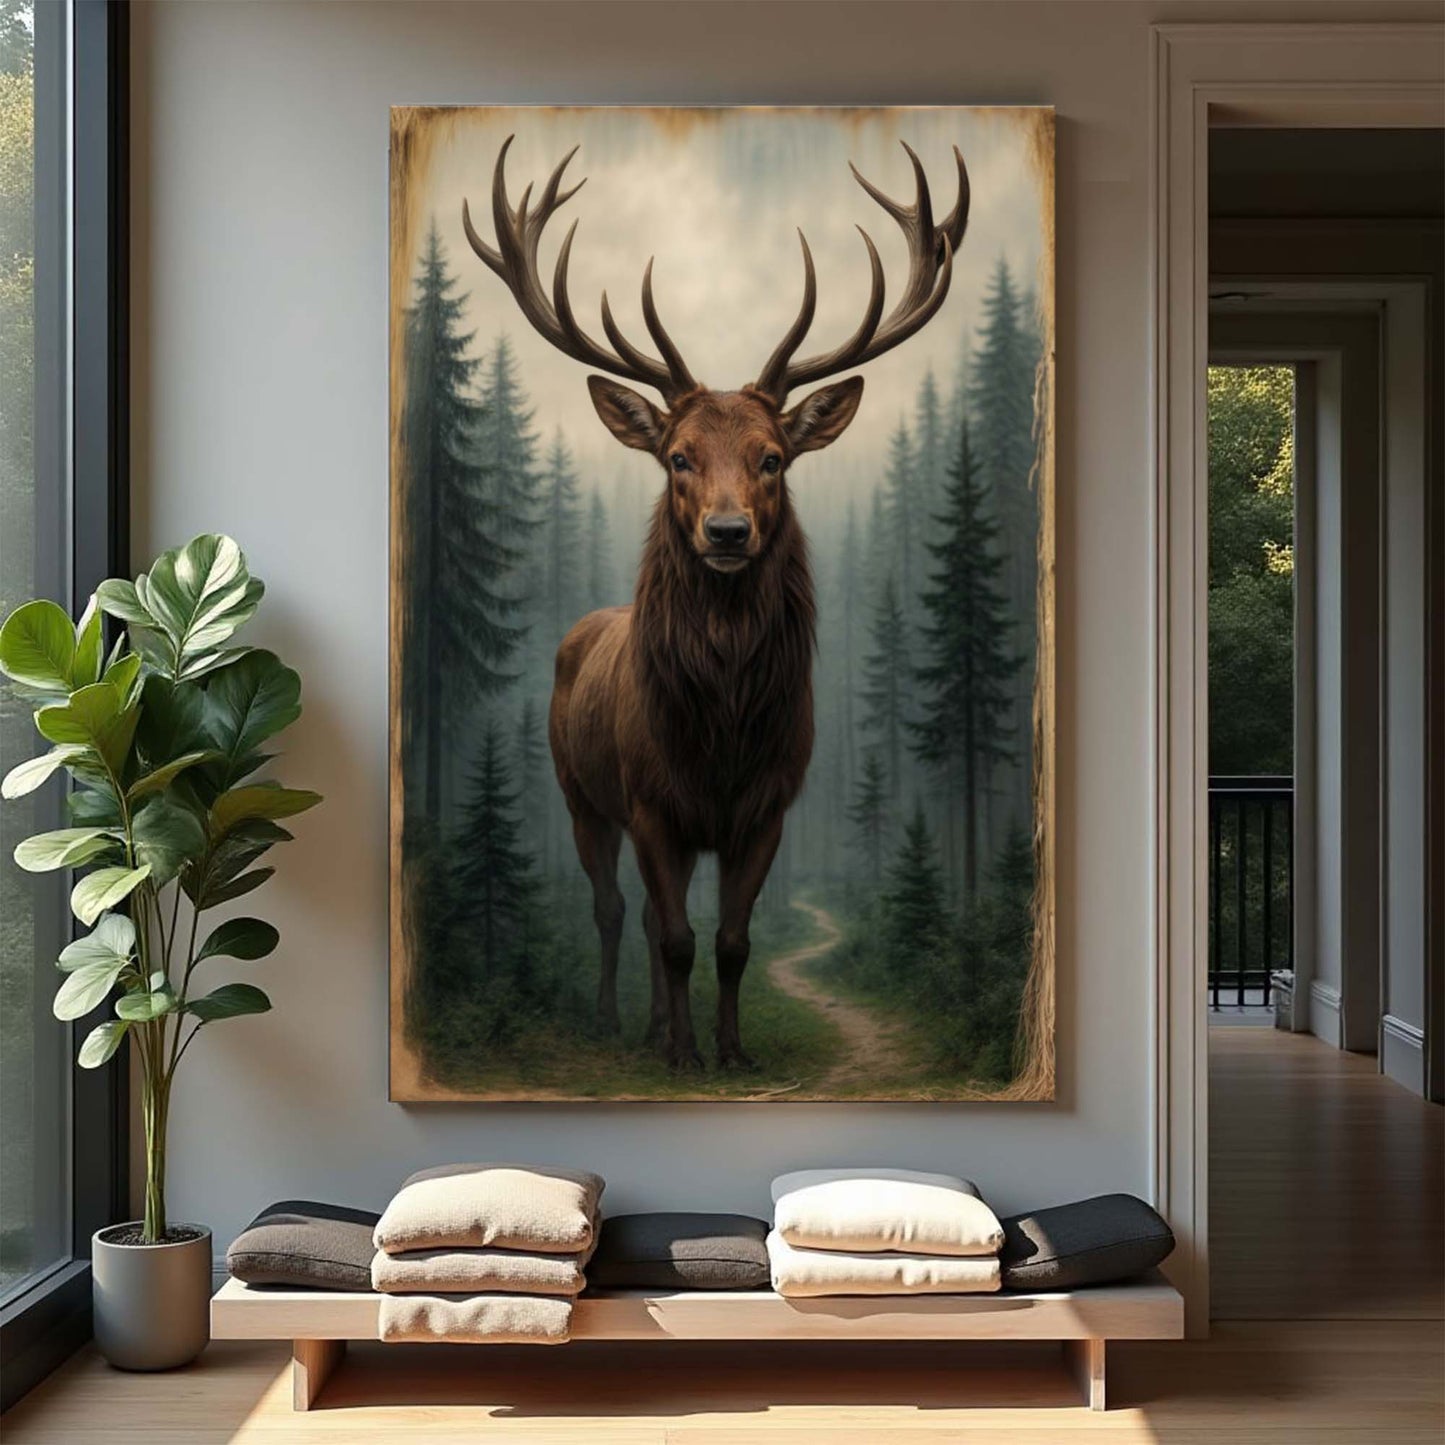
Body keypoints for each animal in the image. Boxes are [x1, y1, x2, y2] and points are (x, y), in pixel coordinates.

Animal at [463, 134, 969, 1070]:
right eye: (677, 456)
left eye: (773, 457)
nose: (727, 531)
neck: (724, 726)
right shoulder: (651, 801)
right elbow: (673, 938)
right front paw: (684, 1053)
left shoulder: (764, 806)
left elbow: (731, 941)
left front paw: (728, 1050)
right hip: (578, 792)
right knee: (613, 910)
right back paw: (617, 1023)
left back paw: (655, 1024)